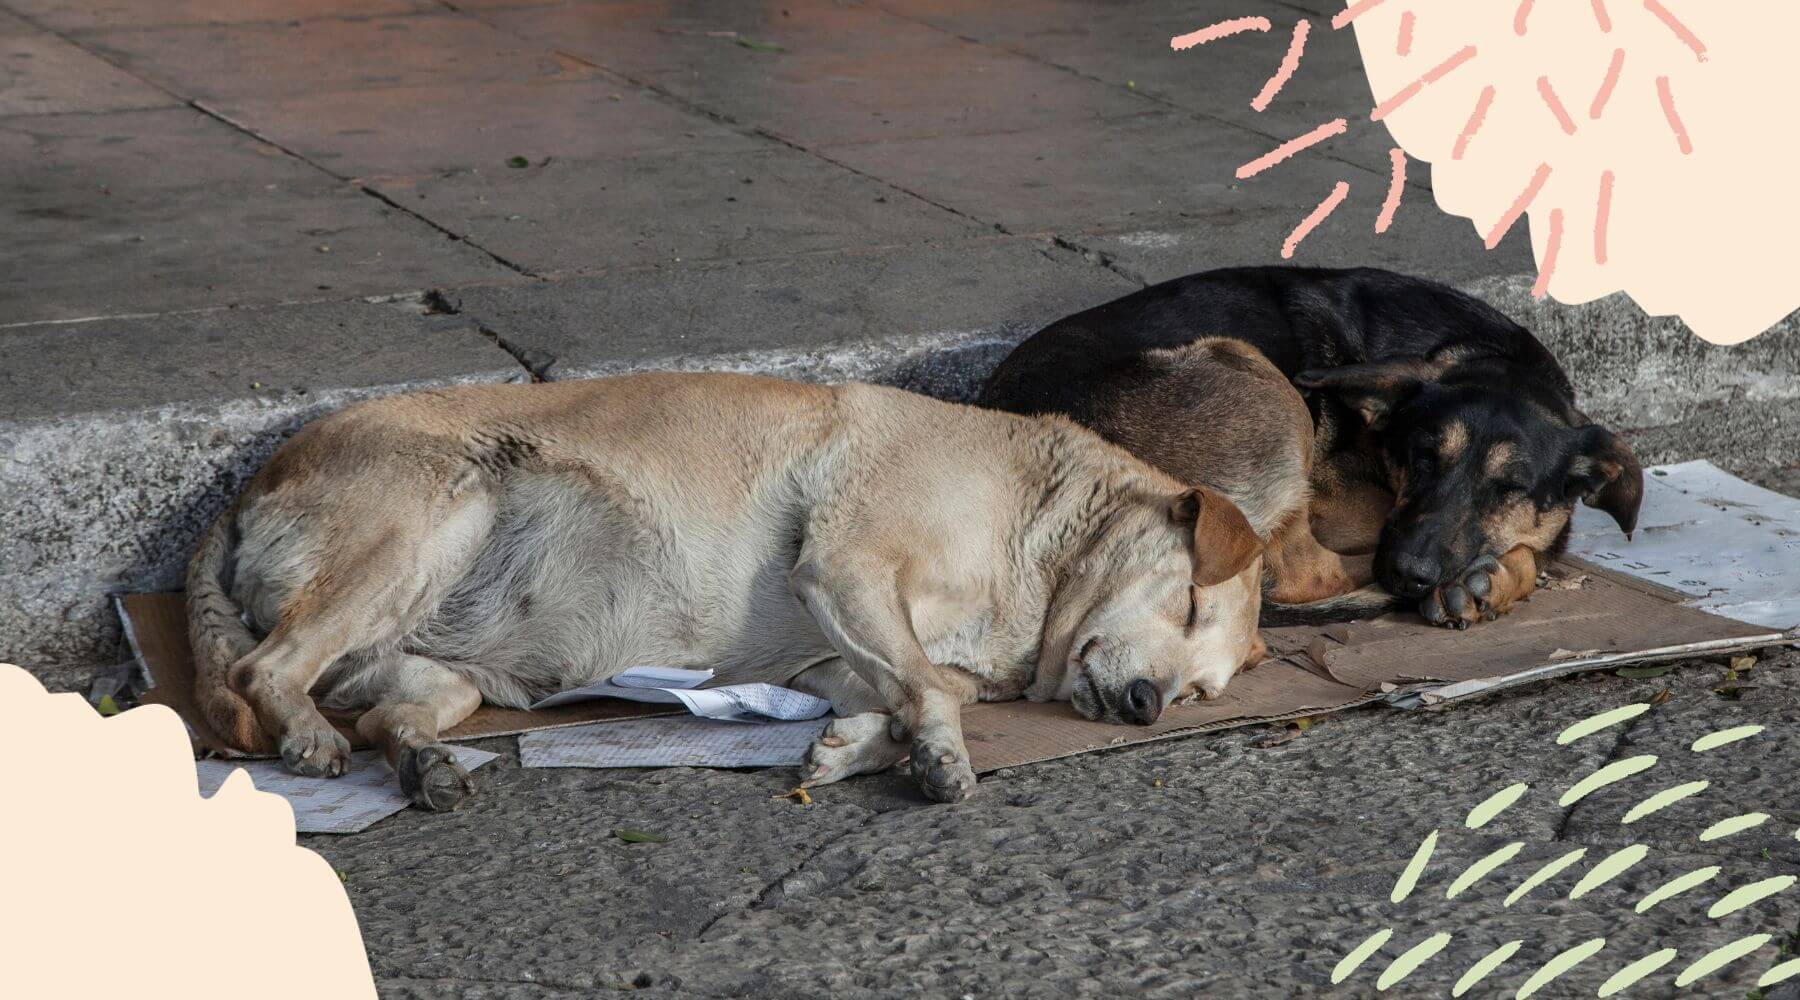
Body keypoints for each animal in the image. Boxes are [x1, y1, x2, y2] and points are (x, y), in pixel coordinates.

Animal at [189, 372, 1267, 805]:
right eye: (1188, 603)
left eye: (1199, 693)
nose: (1146, 706)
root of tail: (246, 489)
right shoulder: (848, 566)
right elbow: (928, 684)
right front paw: (936, 757)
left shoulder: (840, 651)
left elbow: (909, 691)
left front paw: (855, 748)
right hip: (429, 521)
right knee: (261, 667)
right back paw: (307, 735)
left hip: (435, 667)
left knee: (388, 709)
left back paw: (424, 767)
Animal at [986, 266, 1648, 625]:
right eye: (1423, 457)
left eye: (1510, 487)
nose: (1408, 572)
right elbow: (1531, 552)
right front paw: (1495, 575)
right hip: (1260, 379)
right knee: (1299, 572)